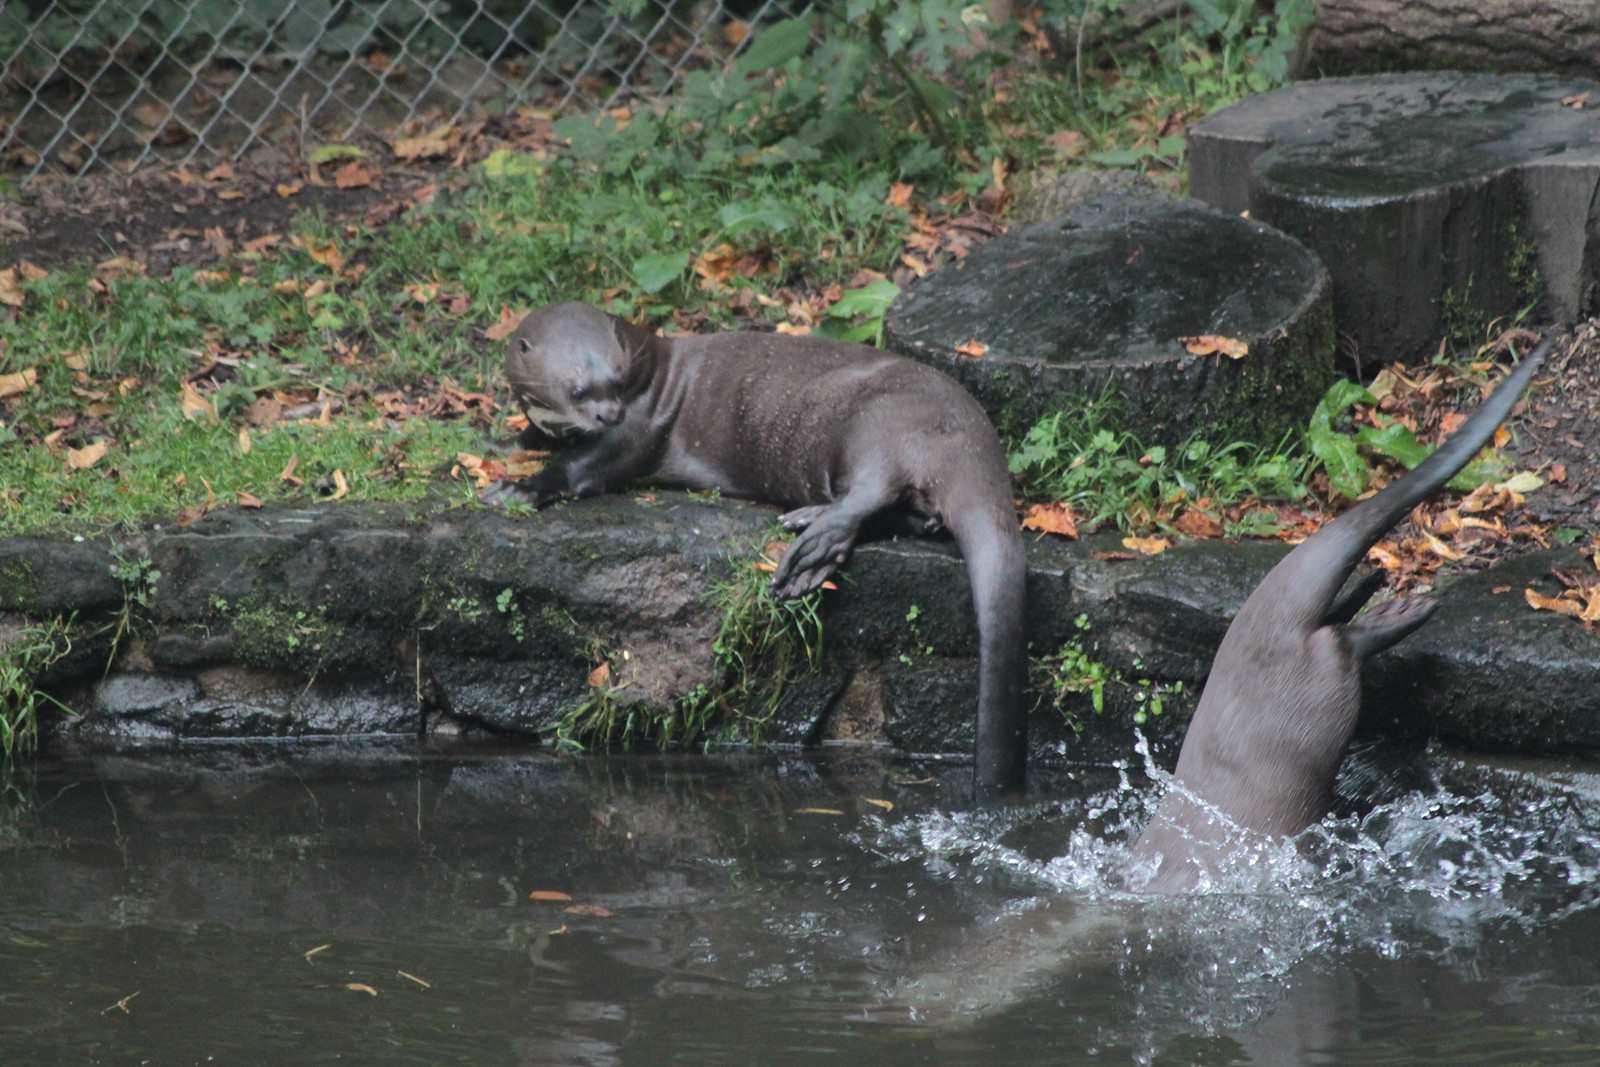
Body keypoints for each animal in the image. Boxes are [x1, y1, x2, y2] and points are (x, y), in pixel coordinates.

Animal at [481, 301, 1028, 802]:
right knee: (913, 516)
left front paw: (519, 488)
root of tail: (969, 440)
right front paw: (513, 441)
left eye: (616, 384)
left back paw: (810, 544)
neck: (652, 373)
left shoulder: (638, 427)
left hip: (877, 422)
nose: (607, 414)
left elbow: (580, 470)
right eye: (578, 390)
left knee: (873, 488)